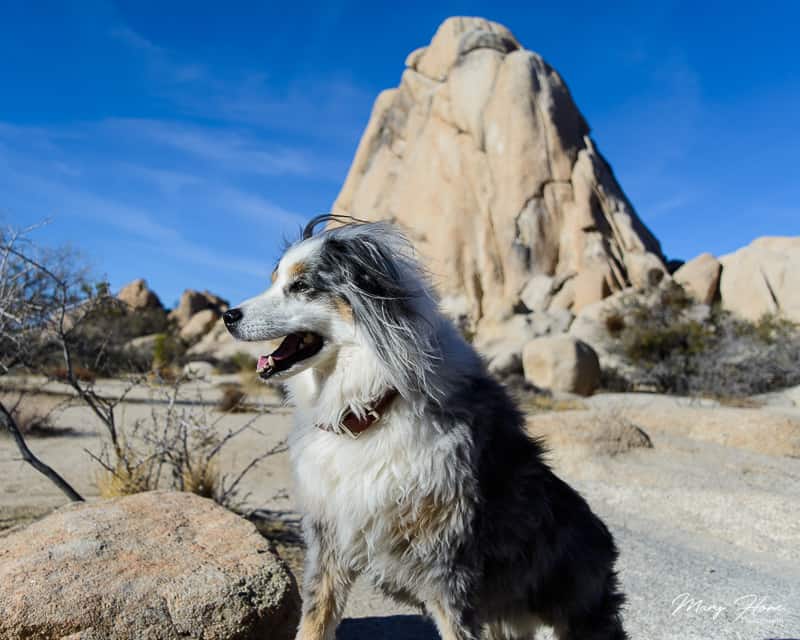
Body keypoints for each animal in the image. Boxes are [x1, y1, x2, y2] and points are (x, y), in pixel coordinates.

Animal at [222, 216, 628, 640]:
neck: (371, 407)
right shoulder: (329, 537)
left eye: (300, 286)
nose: (228, 316)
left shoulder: (449, 566)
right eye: (273, 280)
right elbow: (315, 620)